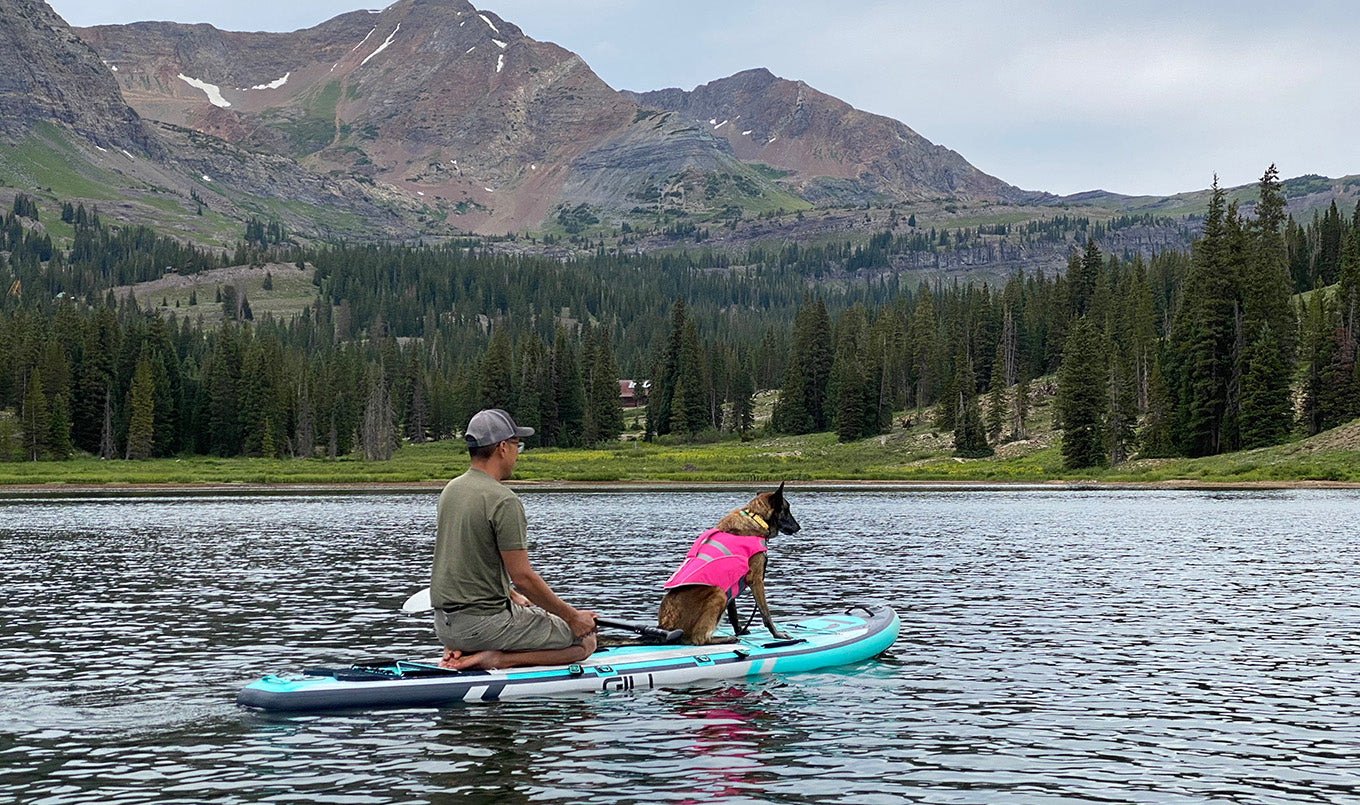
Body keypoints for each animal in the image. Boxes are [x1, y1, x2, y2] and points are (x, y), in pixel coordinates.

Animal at [655, 481, 794, 644]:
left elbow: (734, 614)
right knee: (699, 639)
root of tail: (664, 627)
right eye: (787, 510)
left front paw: (740, 630)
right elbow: (765, 612)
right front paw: (777, 634)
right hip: (719, 593)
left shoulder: (731, 584)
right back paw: (726, 638)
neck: (756, 518)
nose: (798, 527)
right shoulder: (756, 579)